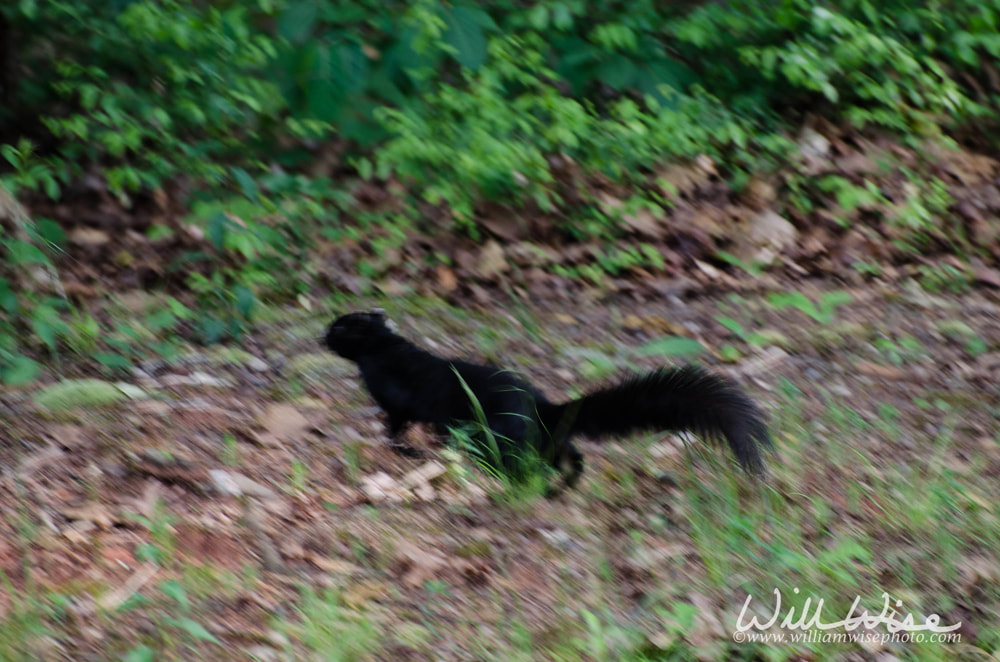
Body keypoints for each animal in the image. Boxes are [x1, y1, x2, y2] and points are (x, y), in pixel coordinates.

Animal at [324, 312, 768, 492]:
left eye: (337, 328)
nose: (320, 336)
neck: (385, 349)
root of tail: (542, 405)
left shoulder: (396, 395)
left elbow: (397, 421)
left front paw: (403, 446)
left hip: (502, 436)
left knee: (527, 464)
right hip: (544, 439)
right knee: (569, 454)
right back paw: (565, 484)